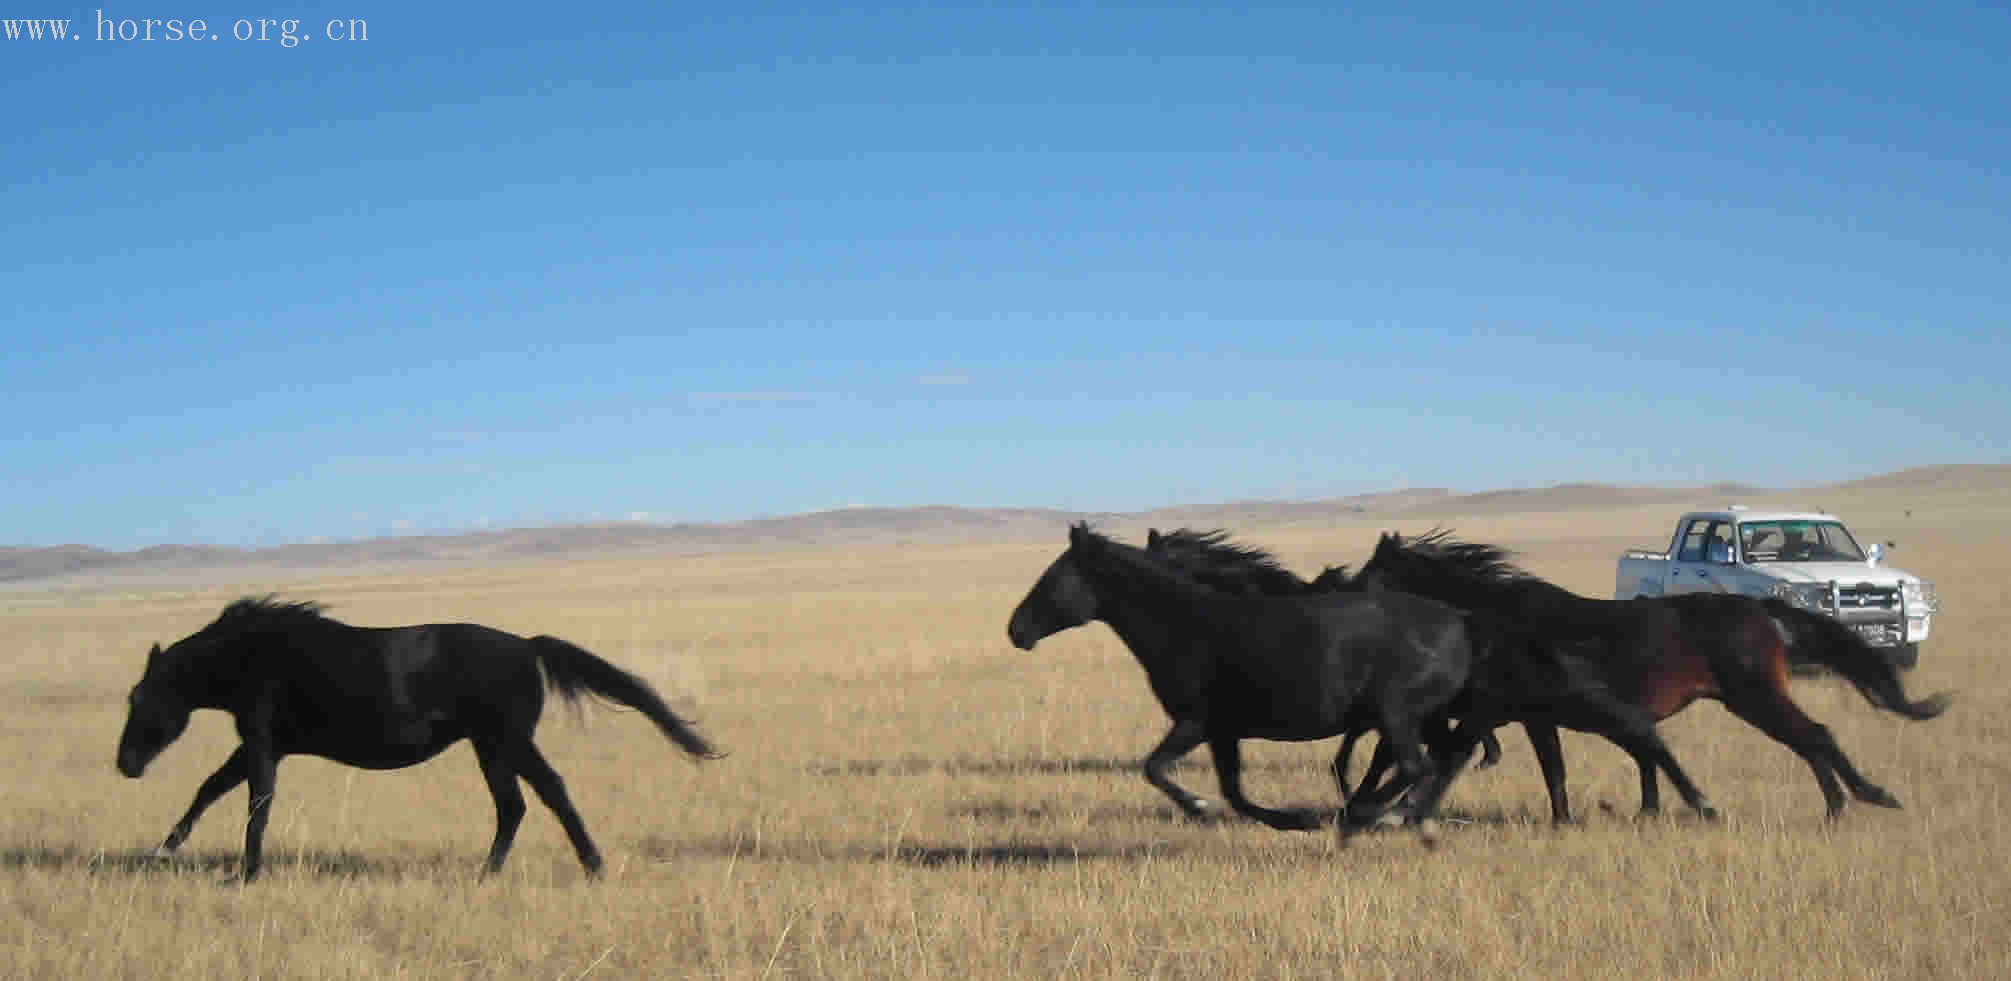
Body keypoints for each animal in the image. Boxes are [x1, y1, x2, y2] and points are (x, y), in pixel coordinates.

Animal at [114, 599, 719, 880]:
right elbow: (210, 789)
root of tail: (529, 645)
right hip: (490, 746)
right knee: (517, 804)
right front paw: (165, 847)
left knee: (545, 794)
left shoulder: (263, 743)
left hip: (505, 740)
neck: (252, 655)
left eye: (140, 699)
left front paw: (246, 872)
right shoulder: (261, 744)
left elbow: (255, 804)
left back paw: (585, 866)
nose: (125, 764)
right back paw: (496, 873)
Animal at [1005, 526, 1480, 832]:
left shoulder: (1197, 722)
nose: (1016, 630)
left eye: (1050, 578)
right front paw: (1292, 821)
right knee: (1441, 759)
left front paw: (1200, 807)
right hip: (1423, 718)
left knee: (1417, 765)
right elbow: (1233, 791)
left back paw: (1368, 813)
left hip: (1397, 714)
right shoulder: (1222, 731)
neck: (1186, 625)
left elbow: (1155, 767)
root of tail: (1459, 621)